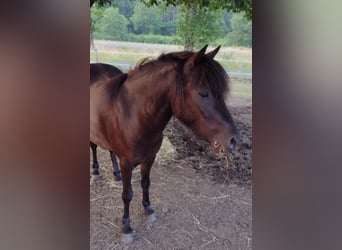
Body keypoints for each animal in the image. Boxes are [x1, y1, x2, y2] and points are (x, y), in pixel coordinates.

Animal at [89, 45, 238, 244]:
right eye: (203, 93)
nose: (233, 140)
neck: (133, 115)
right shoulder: (127, 162)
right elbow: (127, 194)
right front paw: (126, 228)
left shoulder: (149, 158)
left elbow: (145, 184)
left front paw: (148, 210)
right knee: (94, 147)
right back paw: (96, 172)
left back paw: (115, 175)